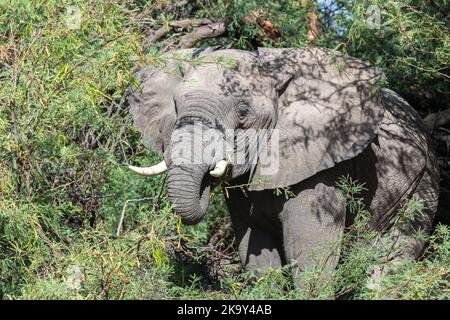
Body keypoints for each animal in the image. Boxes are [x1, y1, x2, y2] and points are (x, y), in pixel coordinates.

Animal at [125, 47, 440, 288]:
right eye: (176, 107)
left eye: (243, 111)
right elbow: (255, 252)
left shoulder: (322, 167)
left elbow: (311, 251)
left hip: (423, 182)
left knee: (393, 259)